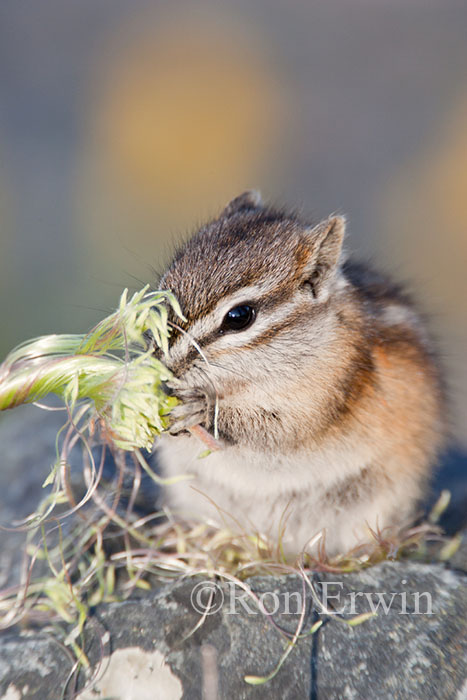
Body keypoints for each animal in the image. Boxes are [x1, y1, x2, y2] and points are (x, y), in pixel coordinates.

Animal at [155, 191, 446, 556]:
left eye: (239, 316)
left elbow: (273, 430)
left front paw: (200, 408)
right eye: (164, 288)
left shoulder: (325, 395)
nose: (165, 366)